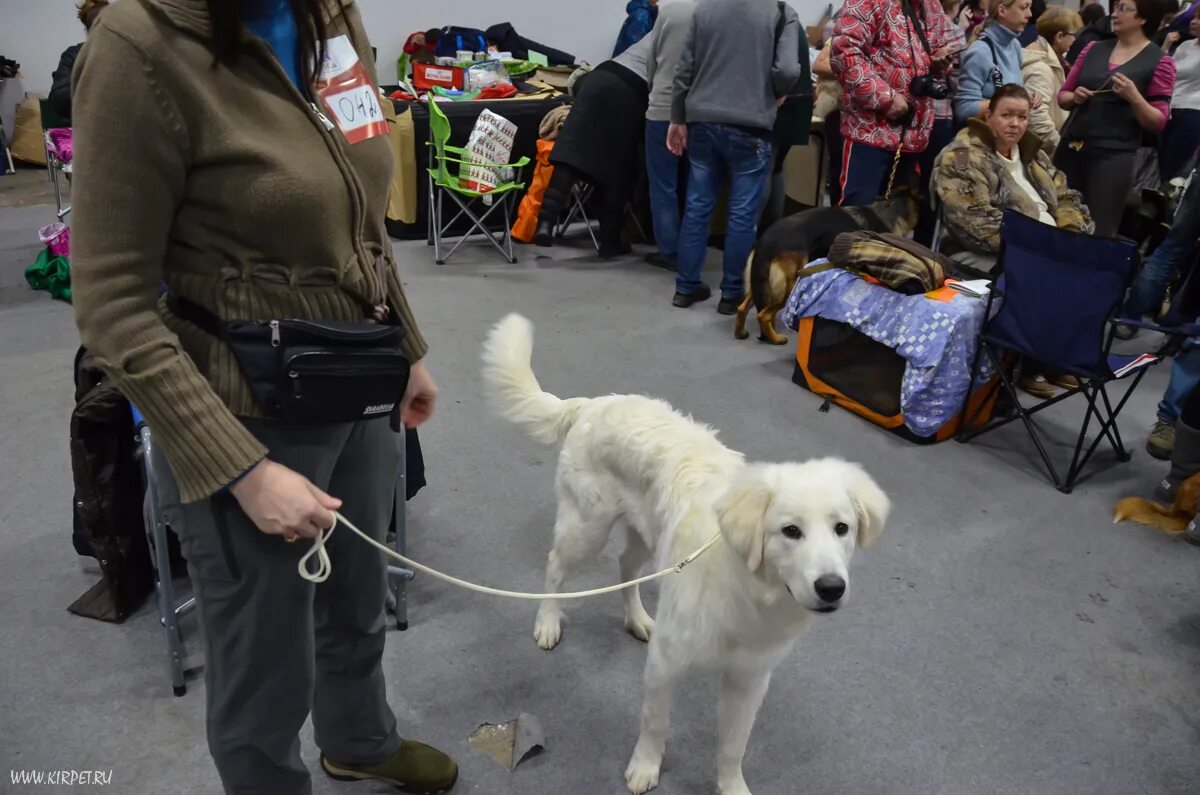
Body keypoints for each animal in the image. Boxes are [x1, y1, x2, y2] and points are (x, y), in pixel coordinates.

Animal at [480, 314, 892, 792]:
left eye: (842, 528)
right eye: (791, 531)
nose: (831, 588)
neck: (749, 592)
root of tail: (591, 404)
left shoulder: (749, 680)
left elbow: (732, 747)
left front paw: (731, 786)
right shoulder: (667, 662)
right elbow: (655, 723)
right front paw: (645, 768)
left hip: (646, 536)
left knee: (625, 568)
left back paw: (638, 619)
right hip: (586, 529)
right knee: (555, 568)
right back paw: (548, 621)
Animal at [729, 192, 916, 345]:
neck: (887, 211)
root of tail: (766, 241)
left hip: (761, 283)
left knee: (742, 307)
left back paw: (741, 333)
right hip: (788, 284)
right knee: (763, 315)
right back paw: (776, 339)